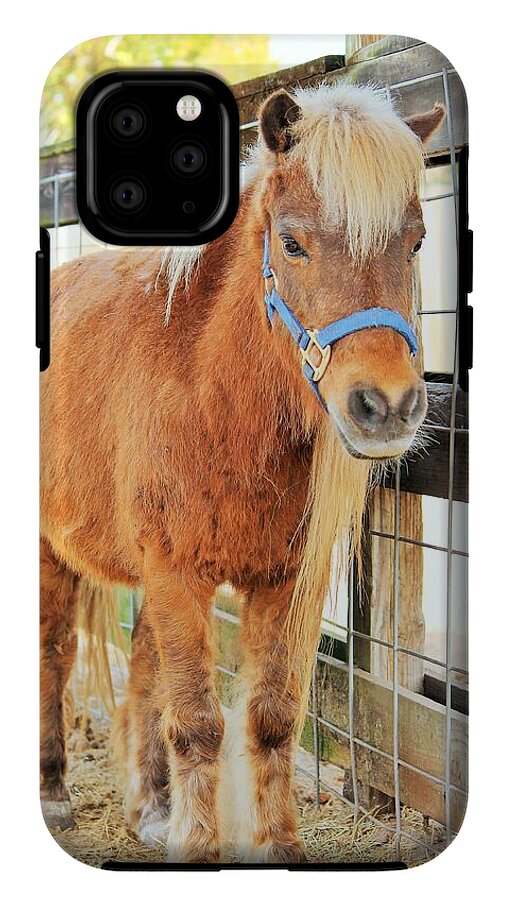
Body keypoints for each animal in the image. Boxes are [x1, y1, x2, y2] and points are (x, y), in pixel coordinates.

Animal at [40, 80, 444, 862]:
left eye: (415, 242)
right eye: (291, 242)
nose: (385, 407)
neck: (213, 393)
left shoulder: (283, 582)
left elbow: (270, 719)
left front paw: (276, 850)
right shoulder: (175, 571)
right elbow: (198, 723)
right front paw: (199, 849)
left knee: (144, 668)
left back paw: (151, 808)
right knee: (53, 653)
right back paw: (53, 794)